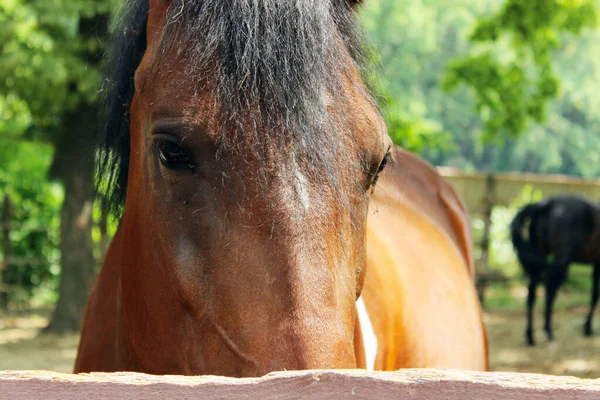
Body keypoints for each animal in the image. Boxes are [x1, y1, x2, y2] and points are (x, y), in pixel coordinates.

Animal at [510, 195, 600, 346]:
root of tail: (546, 203)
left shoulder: (597, 264)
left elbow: (594, 294)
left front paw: (587, 327)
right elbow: (595, 295)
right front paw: (587, 328)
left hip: (540, 252)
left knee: (531, 293)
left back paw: (530, 335)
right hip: (562, 259)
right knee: (550, 290)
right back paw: (548, 332)